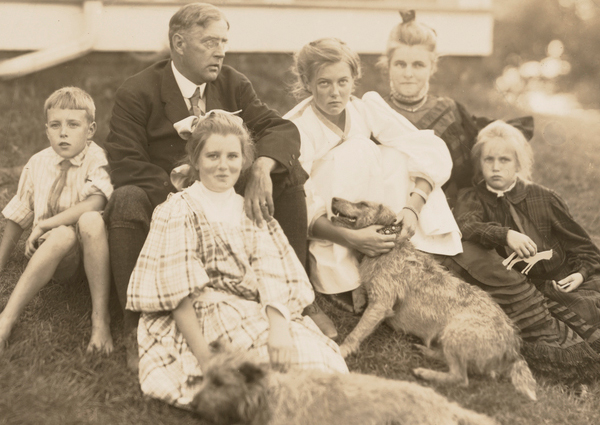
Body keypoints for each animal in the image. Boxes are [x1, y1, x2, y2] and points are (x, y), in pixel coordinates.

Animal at [330, 197, 536, 400]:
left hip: (455, 331)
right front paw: (357, 299)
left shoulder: (381, 304)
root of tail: (514, 349)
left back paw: (425, 372)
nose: (333, 198)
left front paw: (342, 350)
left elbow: (357, 332)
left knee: (461, 378)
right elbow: (359, 288)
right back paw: (426, 351)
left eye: (362, 204)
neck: (391, 248)